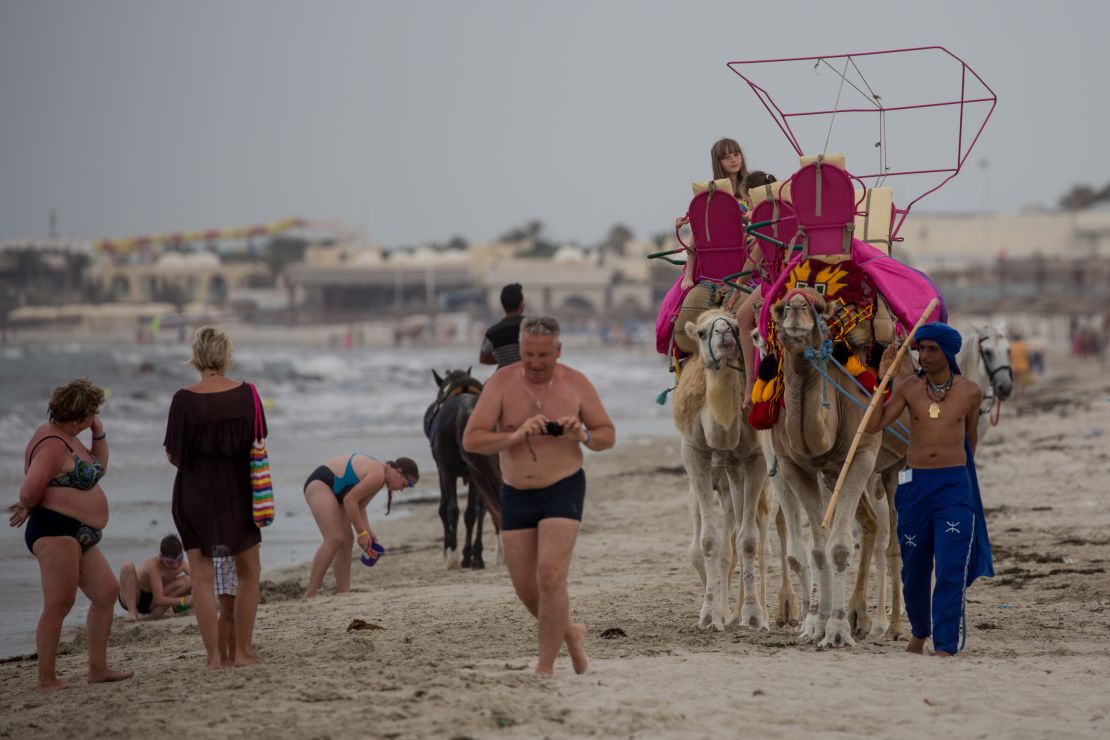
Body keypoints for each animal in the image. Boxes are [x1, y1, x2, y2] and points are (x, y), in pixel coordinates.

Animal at [421, 368, 501, 572]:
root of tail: (466, 410)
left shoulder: (442, 470)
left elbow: (444, 508)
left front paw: (451, 551)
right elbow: (477, 510)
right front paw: (474, 555)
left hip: (449, 470)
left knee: (453, 509)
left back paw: (454, 557)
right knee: (477, 509)